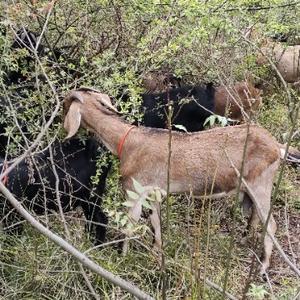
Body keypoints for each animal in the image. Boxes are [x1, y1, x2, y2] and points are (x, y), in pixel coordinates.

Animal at [63, 87, 296, 274]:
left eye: (66, 106)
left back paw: (263, 267)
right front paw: (156, 255)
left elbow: (130, 226)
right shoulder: (154, 193)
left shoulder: (134, 190)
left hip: (260, 184)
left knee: (271, 224)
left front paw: (122, 259)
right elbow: (156, 225)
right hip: (246, 191)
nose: (61, 125)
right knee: (254, 217)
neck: (127, 141)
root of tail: (276, 146)